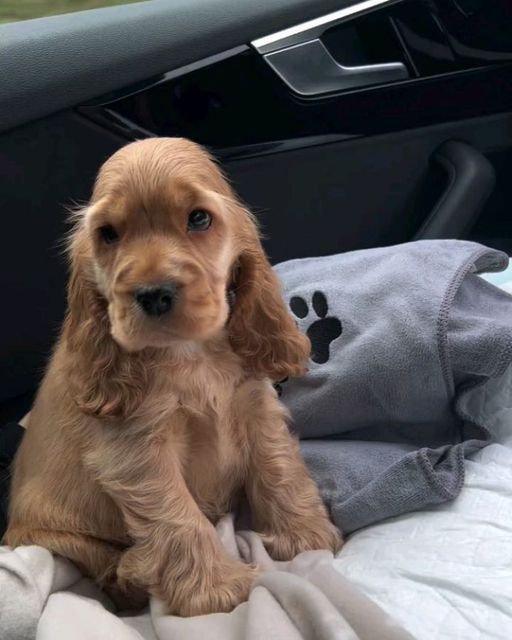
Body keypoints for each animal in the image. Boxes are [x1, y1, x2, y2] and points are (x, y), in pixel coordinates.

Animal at [6, 139, 342, 616]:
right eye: (108, 234)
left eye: (199, 218)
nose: (153, 294)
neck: (190, 352)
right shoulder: (137, 452)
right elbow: (177, 516)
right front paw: (215, 588)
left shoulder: (256, 407)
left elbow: (279, 466)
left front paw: (304, 533)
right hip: (56, 540)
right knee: (108, 571)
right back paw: (132, 572)